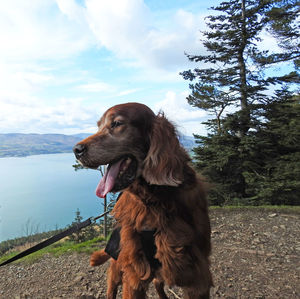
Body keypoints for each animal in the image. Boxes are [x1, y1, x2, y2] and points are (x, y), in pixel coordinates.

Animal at [73, 103, 212, 299]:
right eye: (98, 126)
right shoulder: (134, 275)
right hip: (118, 266)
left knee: (157, 283)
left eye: (117, 123)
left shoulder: (197, 276)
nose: (76, 150)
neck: (153, 202)